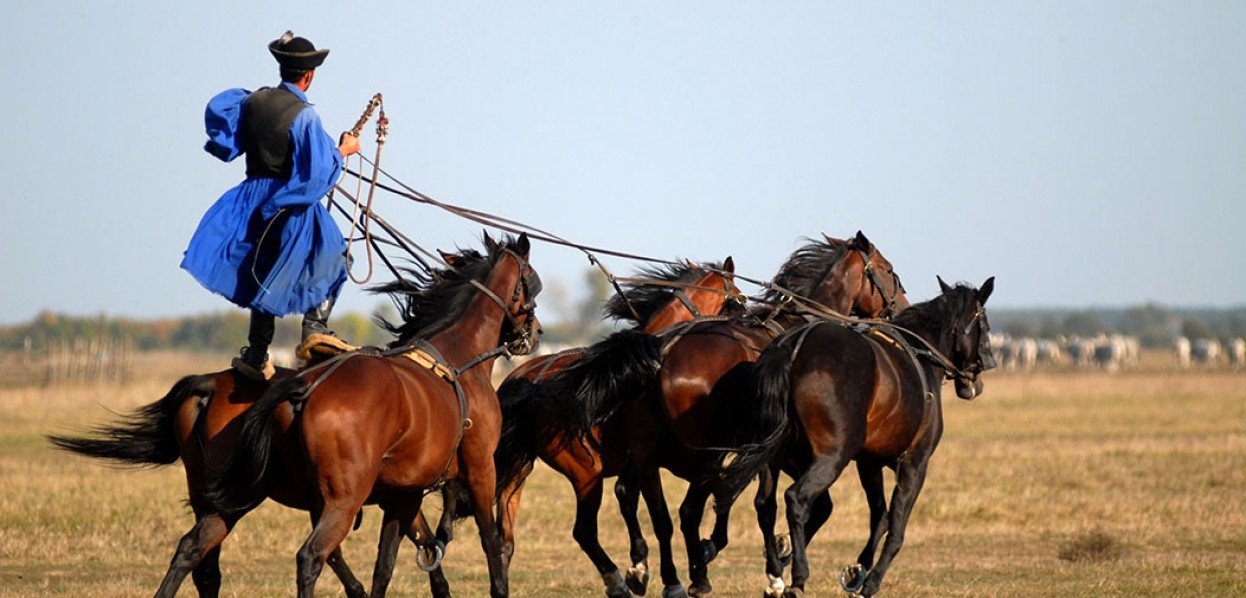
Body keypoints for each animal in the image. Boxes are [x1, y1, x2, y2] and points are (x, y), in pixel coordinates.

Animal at [196, 231, 538, 595]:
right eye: (530, 278)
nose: (535, 334)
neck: (458, 356)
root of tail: (305, 384)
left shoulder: (403, 494)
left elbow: (385, 565)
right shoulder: (480, 468)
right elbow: (491, 539)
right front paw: (499, 587)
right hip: (343, 500)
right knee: (311, 556)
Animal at [570, 231, 907, 595]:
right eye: (889, 270)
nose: (902, 308)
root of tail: (664, 349)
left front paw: (772, 552)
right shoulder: (772, 451)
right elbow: (763, 504)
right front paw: (774, 568)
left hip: (647, 446)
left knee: (630, 494)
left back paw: (645, 569)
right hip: (704, 452)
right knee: (689, 509)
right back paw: (697, 576)